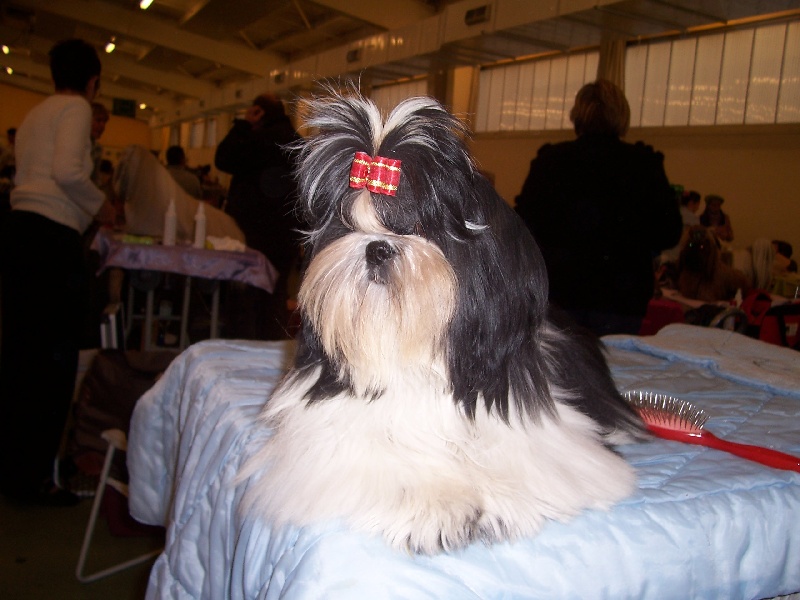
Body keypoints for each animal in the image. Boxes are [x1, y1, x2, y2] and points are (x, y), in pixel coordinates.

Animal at [239, 89, 646, 555]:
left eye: (418, 225)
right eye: (346, 225)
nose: (377, 247)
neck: (409, 350)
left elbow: (520, 452)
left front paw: (503, 502)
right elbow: (383, 456)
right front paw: (437, 507)